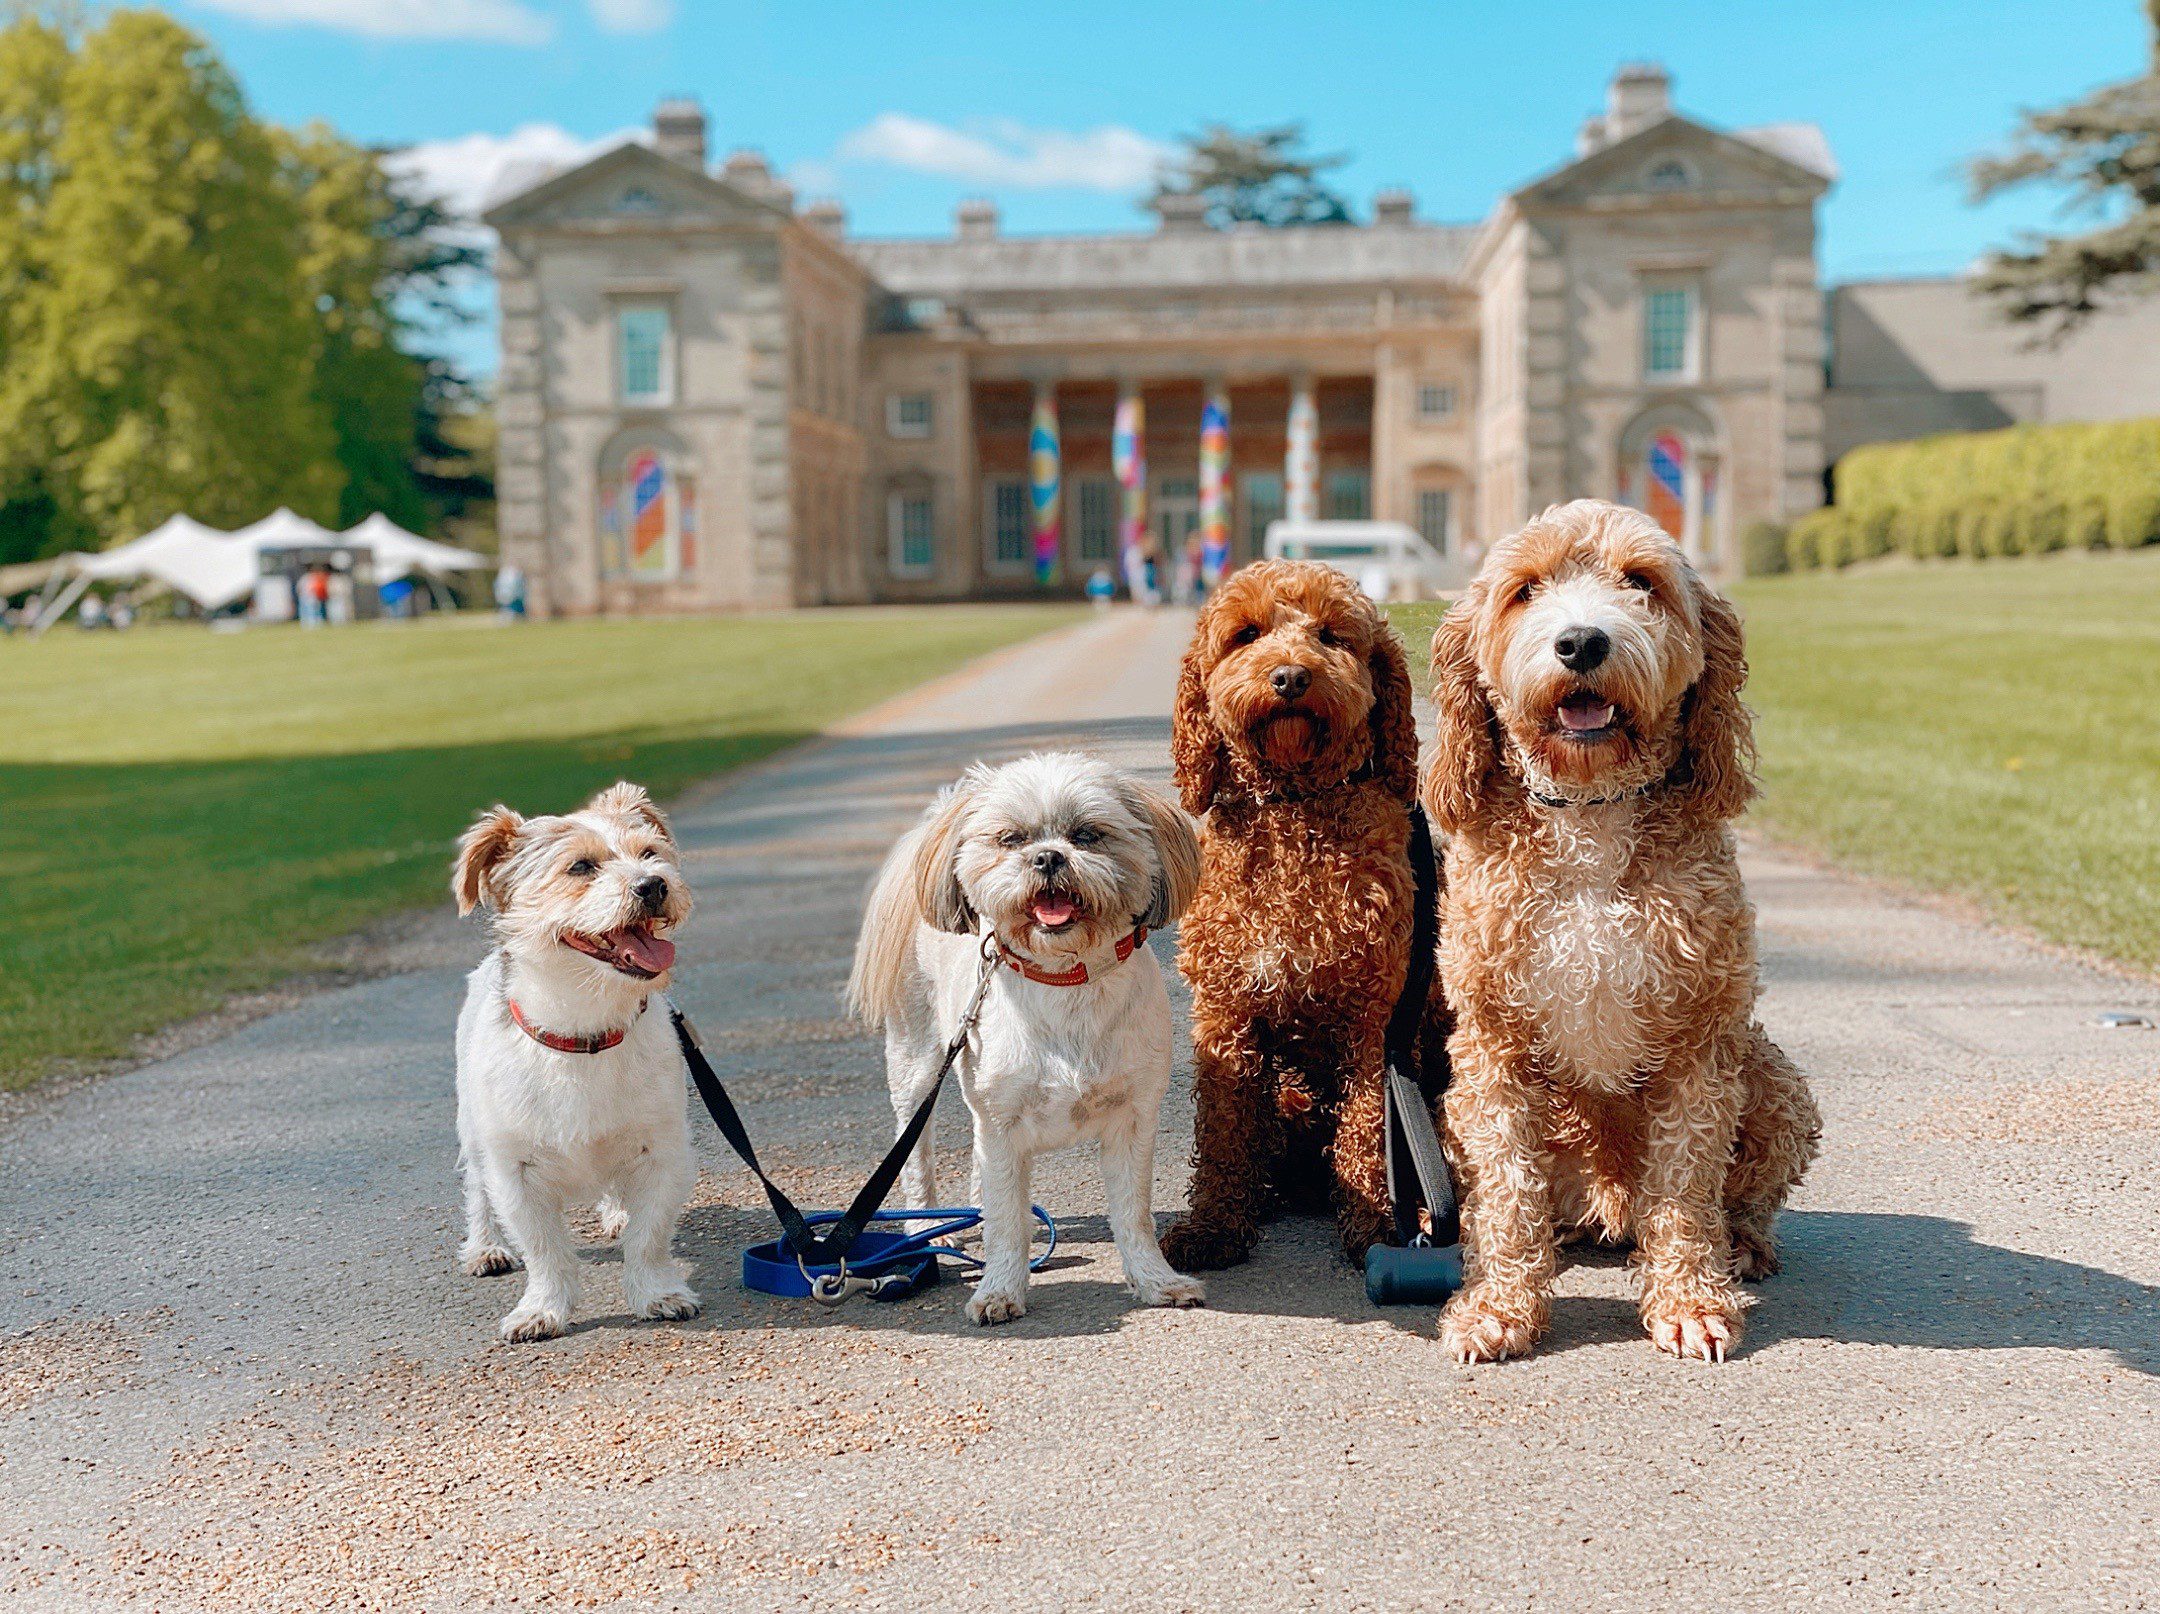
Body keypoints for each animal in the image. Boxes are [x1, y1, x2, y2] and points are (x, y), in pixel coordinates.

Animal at [449, 777, 699, 1339]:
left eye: (650, 853)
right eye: (581, 866)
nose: (654, 885)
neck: (586, 1030)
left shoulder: (662, 1152)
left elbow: (650, 1235)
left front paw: (657, 1291)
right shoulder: (514, 1170)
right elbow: (545, 1248)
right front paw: (542, 1307)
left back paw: (617, 1210)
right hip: (471, 1130)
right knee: (476, 1191)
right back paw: (485, 1247)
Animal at [846, 756, 1218, 1322]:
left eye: (1087, 834)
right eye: (1011, 838)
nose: (1046, 856)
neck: (1064, 979)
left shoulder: (1133, 1120)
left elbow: (1133, 1214)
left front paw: (1156, 1281)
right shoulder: (1001, 1124)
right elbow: (1007, 1221)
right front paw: (999, 1289)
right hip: (917, 1069)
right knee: (917, 1155)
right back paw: (927, 1229)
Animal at [1157, 557, 1442, 1279]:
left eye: (1332, 636)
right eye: (1246, 634)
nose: (1288, 677)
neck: (1293, 808)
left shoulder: (1370, 1022)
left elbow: (1369, 1130)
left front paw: (1377, 1227)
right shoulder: (1225, 1012)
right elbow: (1224, 1129)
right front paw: (1214, 1225)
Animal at [1416, 501, 1823, 1365]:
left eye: (1642, 581)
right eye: (1525, 589)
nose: (1581, 642)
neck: (1591, 811)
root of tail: (1606, 1205)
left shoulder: (1701, 1040)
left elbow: (1686, 1188)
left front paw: (1691, 1300)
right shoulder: (1491, 1046)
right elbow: (1509, 1189)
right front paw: (1498, 1308)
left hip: (1774, 1081)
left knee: (1741, 1198)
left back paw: (1742, 1247)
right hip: (1449, 1109)